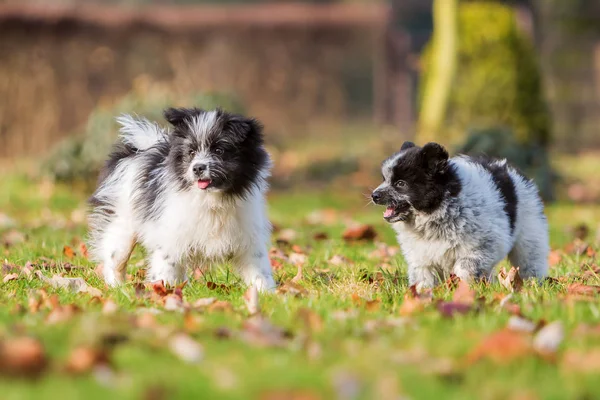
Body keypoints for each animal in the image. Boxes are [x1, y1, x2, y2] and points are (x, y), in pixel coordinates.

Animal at [88, 108, 276, 290]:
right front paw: (162, 292)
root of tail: (139, 151)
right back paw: (116, 288)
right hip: (121, 226)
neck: (211, 200)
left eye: (219, 151)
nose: (198, 168)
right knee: (115, 259)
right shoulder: (170, 239)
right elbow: (165, 269)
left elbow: (260, 271)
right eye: (191, 152)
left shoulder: (249, 241)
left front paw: (267, 293)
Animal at [372, 141, 552, 288]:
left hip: (529, 239)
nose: (374, 195)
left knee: (531, 262)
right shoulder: (421, 255)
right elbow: (423, 277)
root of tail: (507, 168)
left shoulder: (483, 246)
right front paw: (421, 294)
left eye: (400, 184)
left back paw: (532, 285)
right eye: (384, 180)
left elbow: (464, 267)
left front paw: (462, 288)